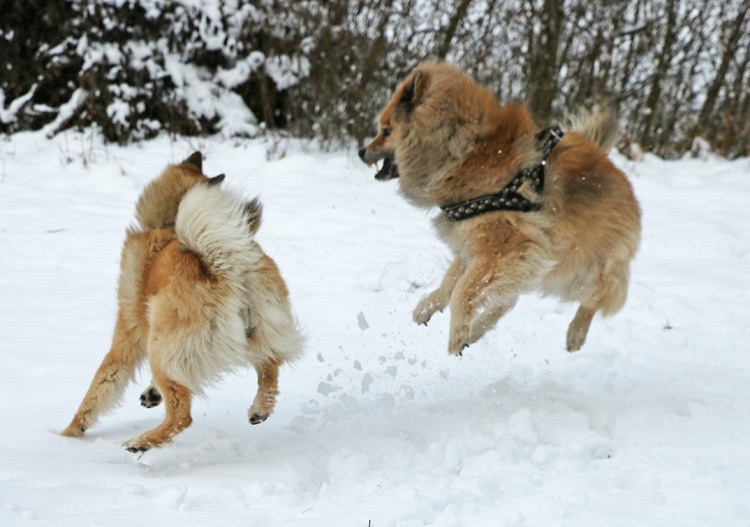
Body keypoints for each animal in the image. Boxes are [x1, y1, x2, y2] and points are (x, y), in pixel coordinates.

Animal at [61, 154, 302, 454]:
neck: (167, 226)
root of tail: (222, 265)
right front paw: (151, 393)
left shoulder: (126, 338)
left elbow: (96, 391)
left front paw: (66, 435)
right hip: (258, 331)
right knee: (270, 367)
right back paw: (260, 409)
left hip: (161, 346)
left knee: (181, 416)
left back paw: (141, 443)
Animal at [362, 64, 644, 356]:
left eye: (385, 131)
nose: (361, 151)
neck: (464, 151)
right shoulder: (477, 247)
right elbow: (451, 283)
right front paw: (428, 308)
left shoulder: (504, 245)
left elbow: (462, 291)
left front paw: (456, 336)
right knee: (508, 301)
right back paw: (476, 330)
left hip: (582, 269)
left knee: (595, 299)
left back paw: (575, 334)